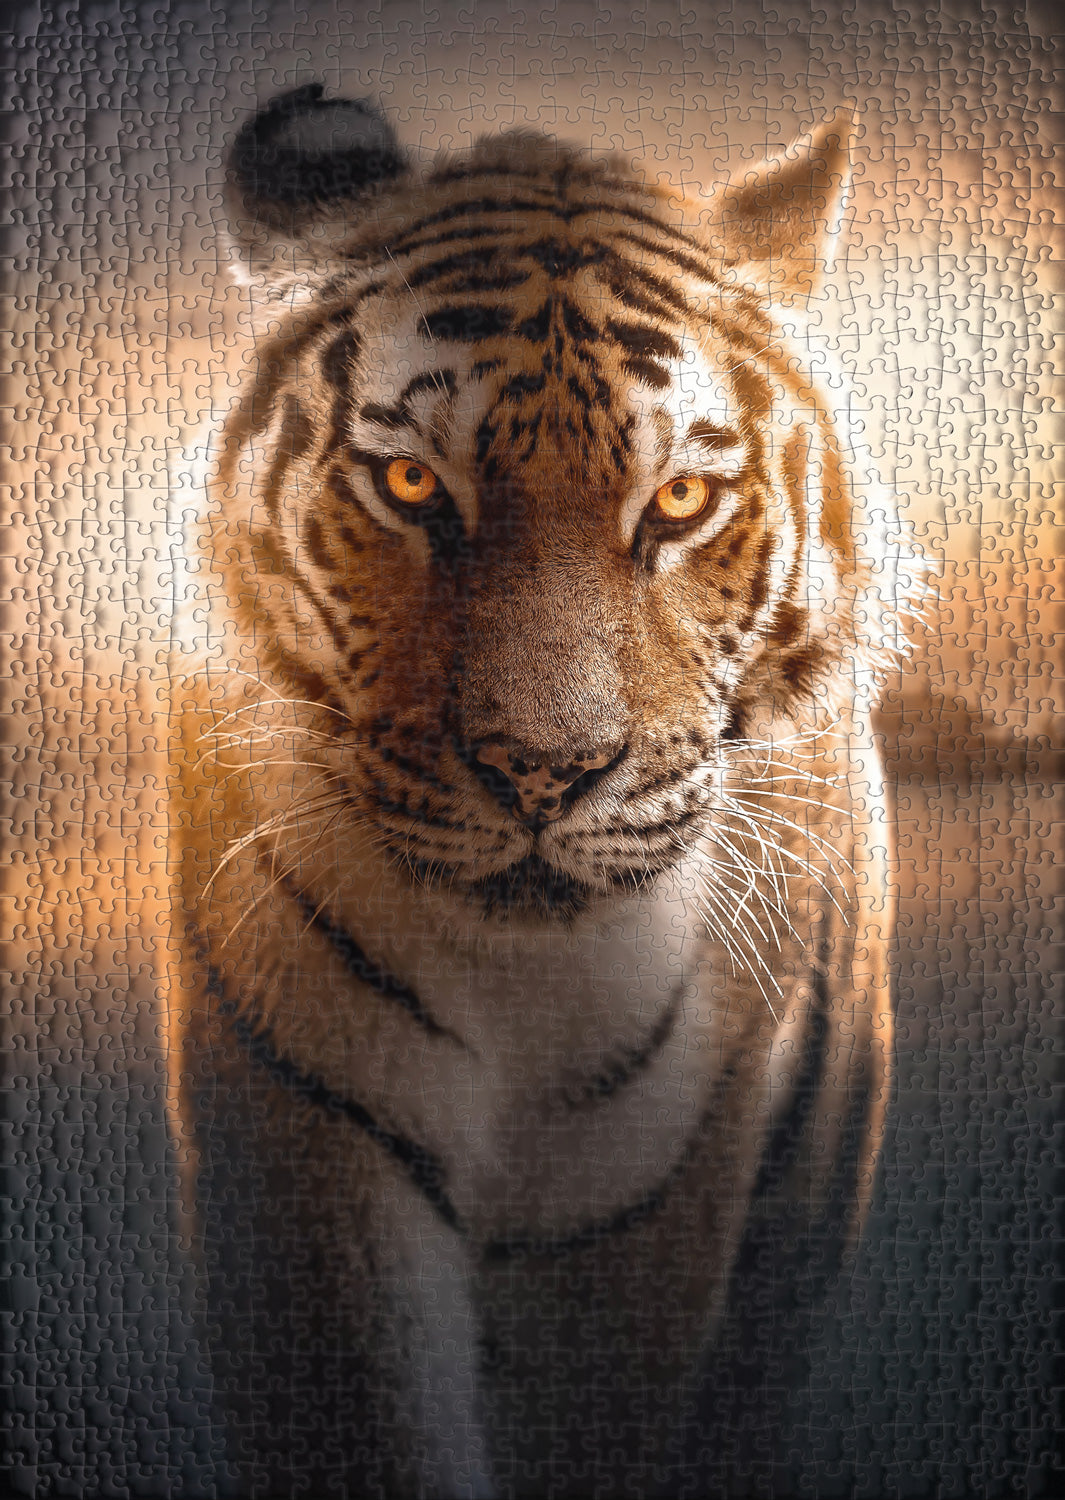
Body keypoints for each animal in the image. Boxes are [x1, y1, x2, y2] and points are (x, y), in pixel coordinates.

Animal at [169, 83, 913, 1499]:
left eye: (680, 500)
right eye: (413, 485)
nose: (543, 772)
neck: (518, 991)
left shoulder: (646, 1206)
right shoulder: (308, 1137)